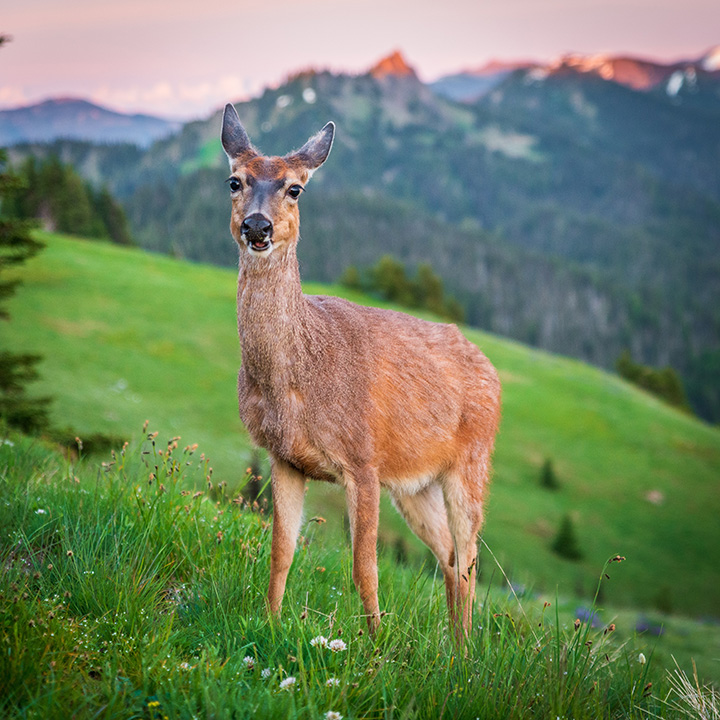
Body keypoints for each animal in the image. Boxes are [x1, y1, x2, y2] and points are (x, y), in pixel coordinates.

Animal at [221, 103, 501, 636]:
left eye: (295, 188)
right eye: (234, 181)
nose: (257, 227)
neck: (296, 377)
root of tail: (492, 370)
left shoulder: (364, 460)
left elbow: (364, 568)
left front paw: (375, 643)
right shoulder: (284, 458)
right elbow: (281, 552)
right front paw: (269, 625)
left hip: (472, 461)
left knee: (470, 558)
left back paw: (466, 645)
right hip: (414, 484)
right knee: (450, 555)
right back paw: (453, 647)